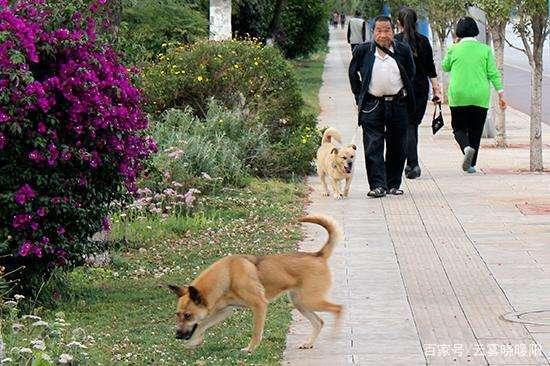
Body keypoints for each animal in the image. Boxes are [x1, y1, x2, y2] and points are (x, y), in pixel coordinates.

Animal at [168, 214, 342, 352]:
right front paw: (194, 342)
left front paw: (251, 349)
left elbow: (256, 332)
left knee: (338, 309)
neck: (227, 275)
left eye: (188, 315)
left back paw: (335, 335)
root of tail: (318, 255)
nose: (177, 335)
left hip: (309, 300)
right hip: (300, 302)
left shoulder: (259, 305)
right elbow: (202, 324)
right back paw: (308, 343)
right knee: (319, 322)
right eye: (178, 314)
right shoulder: (225, 311)